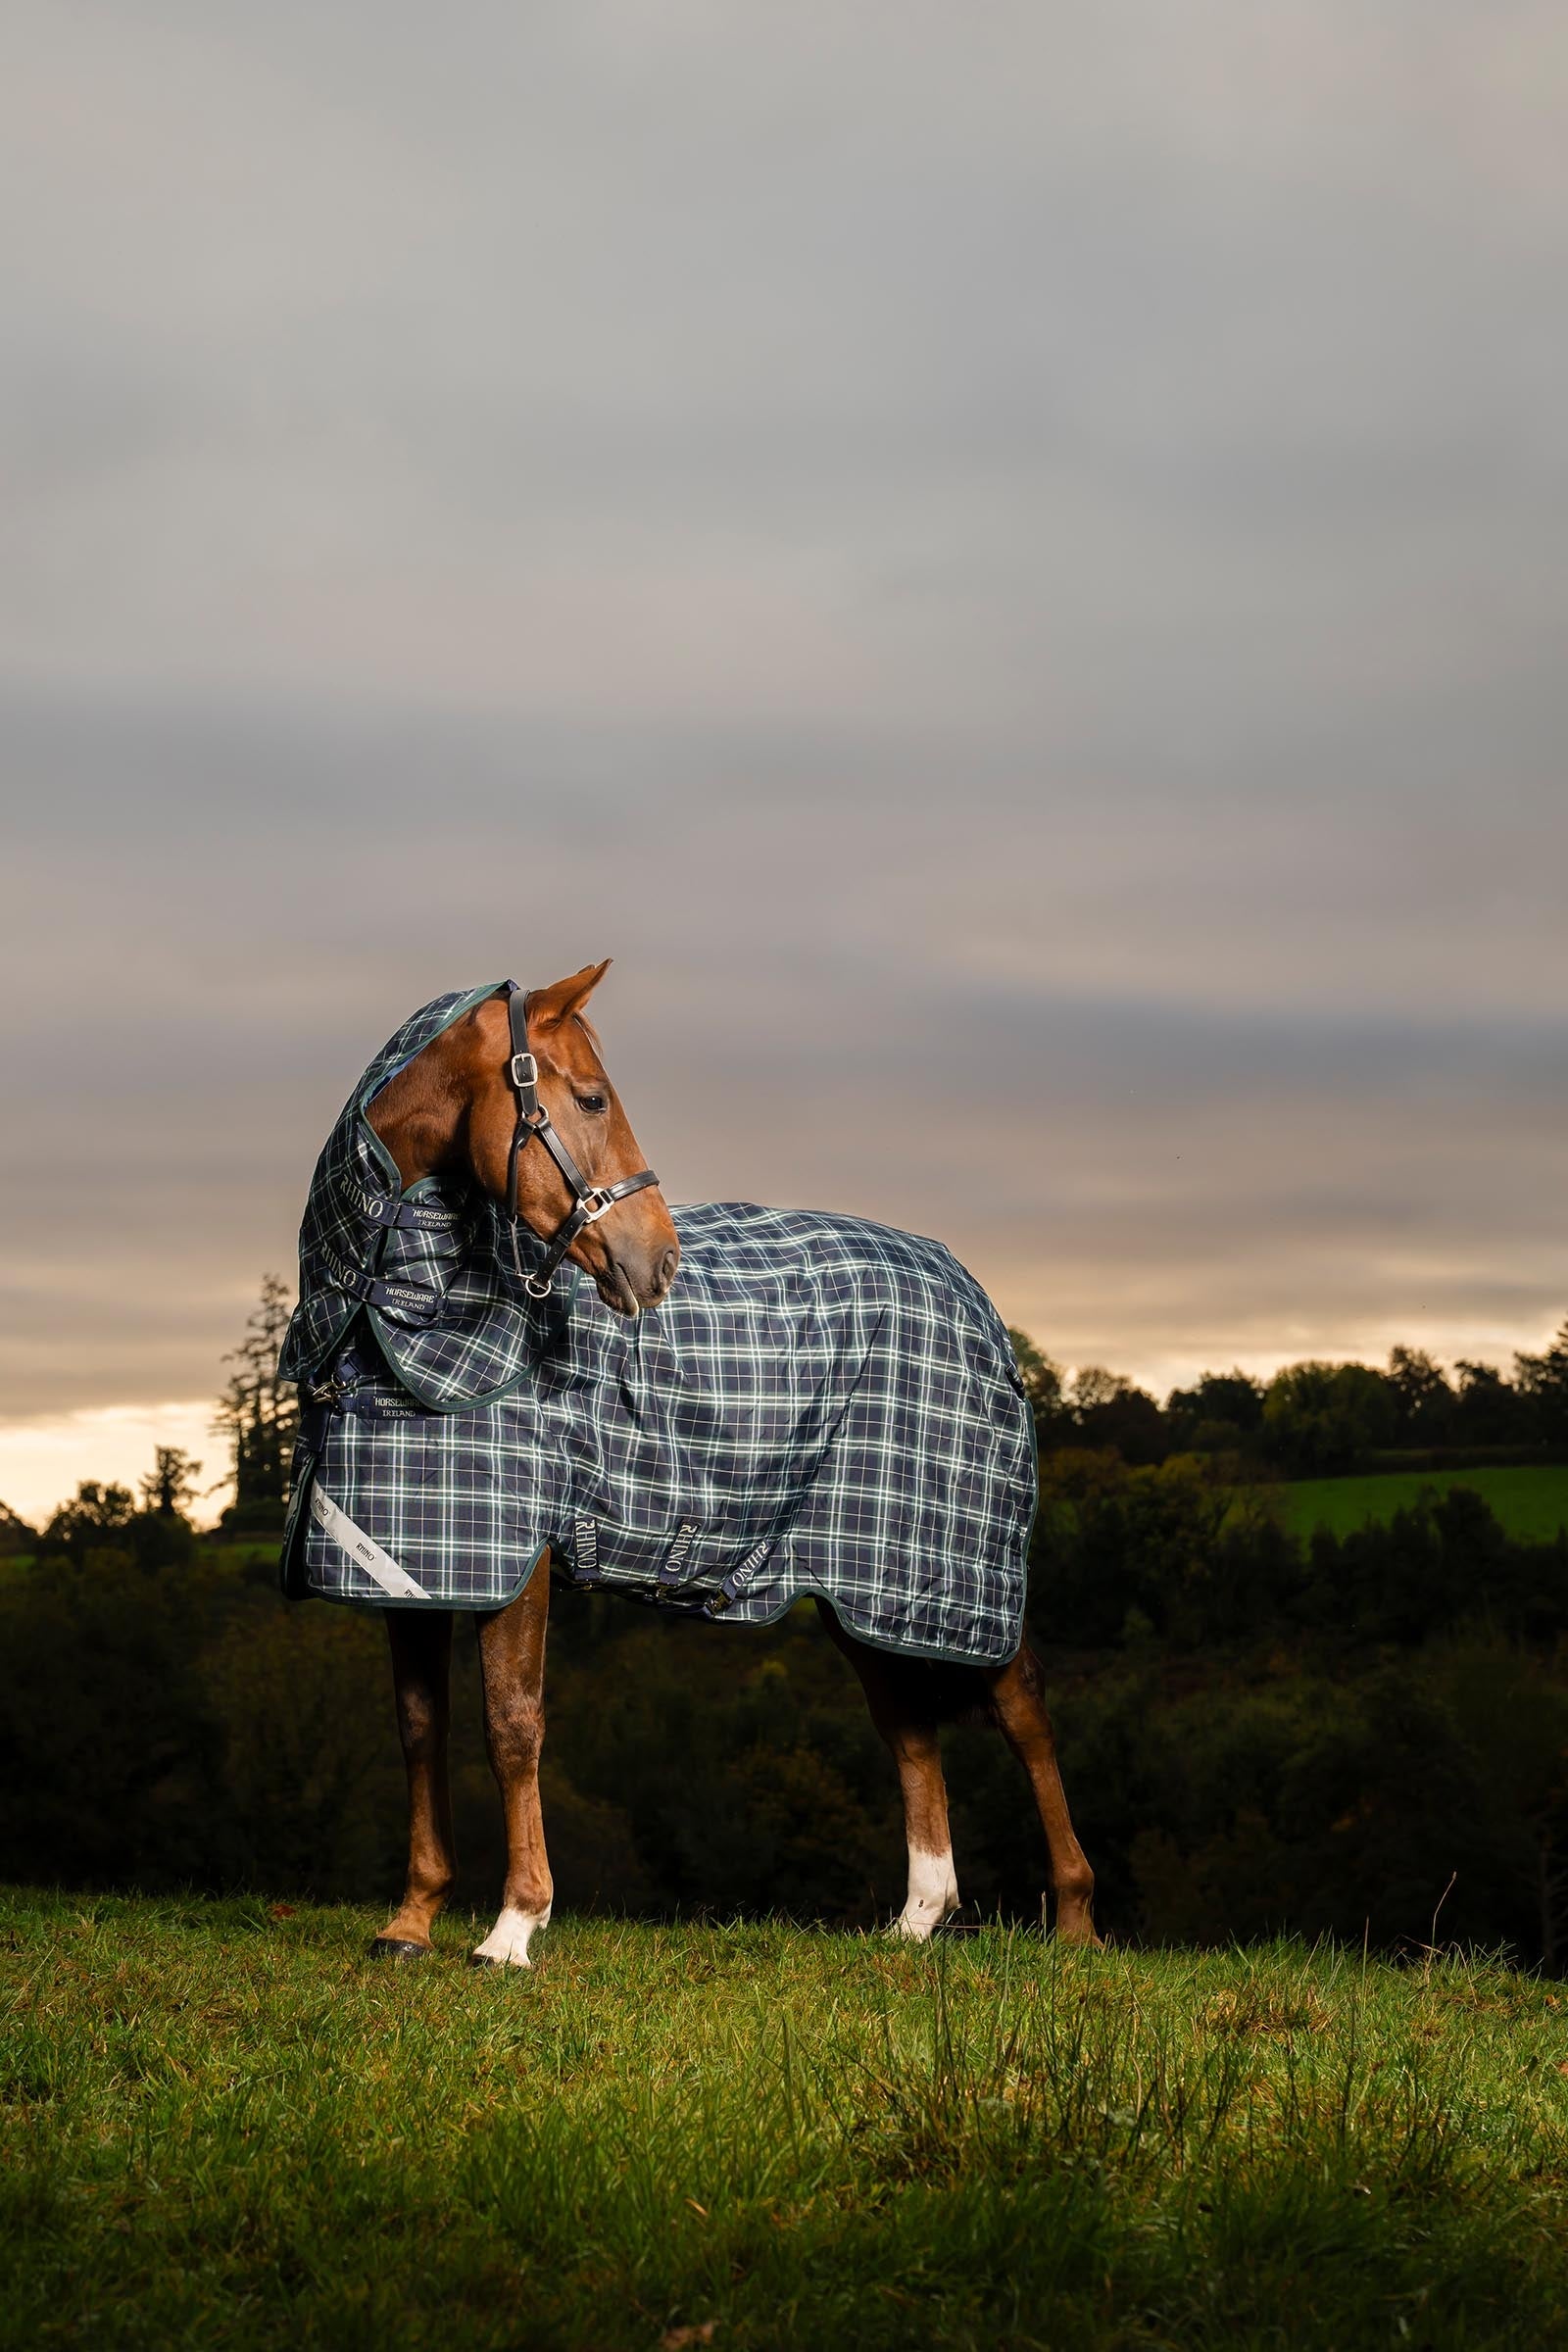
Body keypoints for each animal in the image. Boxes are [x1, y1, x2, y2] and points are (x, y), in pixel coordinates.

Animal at [284, 964, 1095, 1965]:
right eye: (592, 1097)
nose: (658, 1261)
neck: (384, 1308)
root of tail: (970, 1292)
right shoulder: (412, 1563)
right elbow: (418, 1729)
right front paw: (412, 1919)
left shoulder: (519, 1556)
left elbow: (512, 1724)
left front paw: (514, 1926)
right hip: (859, 1582)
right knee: (906, 1723)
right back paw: (915, 1920)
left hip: (958, 1565)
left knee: (1021, 1707)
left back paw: (1074, 1920)